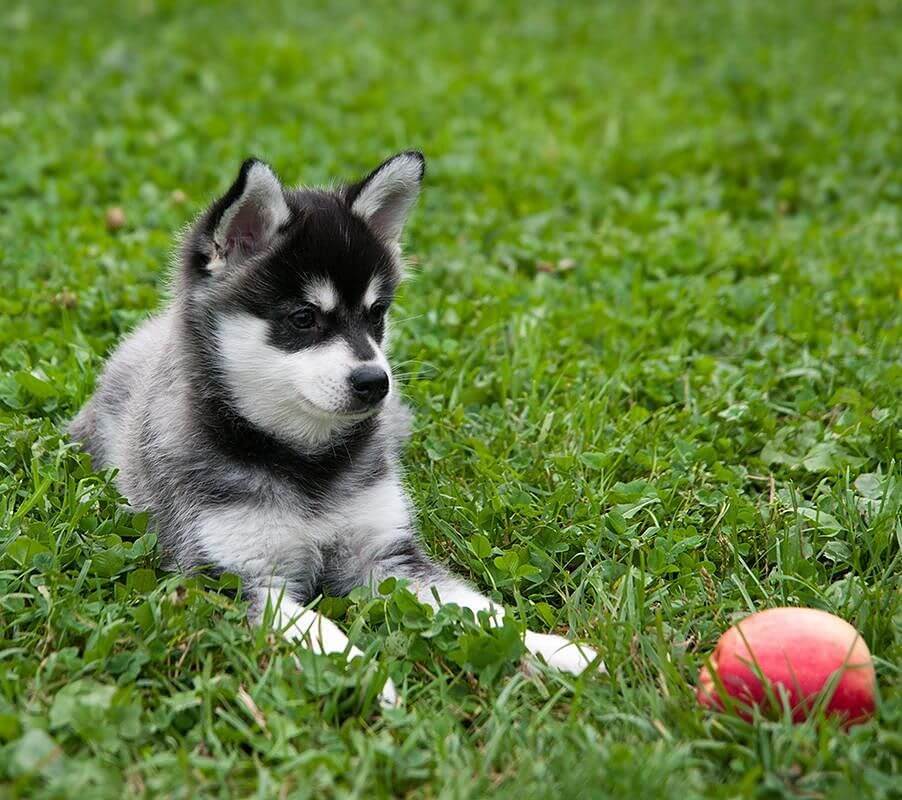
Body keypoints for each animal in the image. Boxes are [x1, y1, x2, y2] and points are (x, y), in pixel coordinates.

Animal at [72, 153, 600, 704]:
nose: (375, 382)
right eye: (304, 317)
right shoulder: (230, 576)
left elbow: (475, 607)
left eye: (376, 313)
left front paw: (550, 646)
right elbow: (319, 629)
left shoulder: (384, 556)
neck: (304, 459)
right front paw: (364, 676)